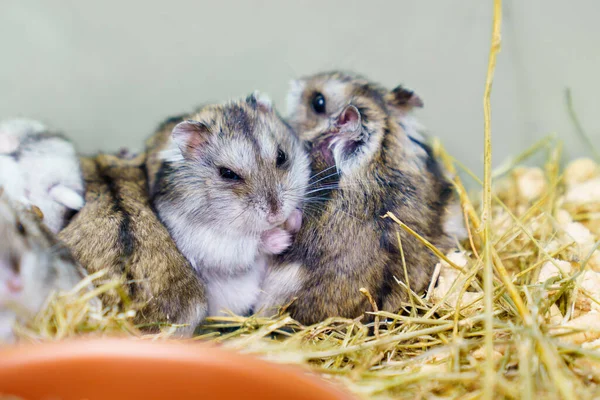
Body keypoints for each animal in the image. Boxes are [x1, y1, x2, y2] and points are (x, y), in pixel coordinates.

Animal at [145, 92, 310, 318]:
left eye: (281, 156)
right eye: (228, 174)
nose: (276, 215)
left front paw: (294, 218)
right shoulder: (203, 240)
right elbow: (244, 244)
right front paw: (281, 239)